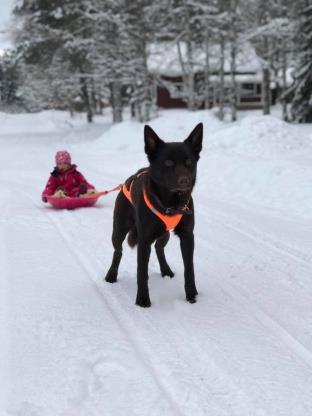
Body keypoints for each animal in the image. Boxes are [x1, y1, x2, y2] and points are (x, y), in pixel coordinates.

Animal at [103, 122, 204, 308]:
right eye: (169, 162)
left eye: (189, 162)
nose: (185, 181)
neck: (171, 203)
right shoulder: (144, 240)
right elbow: (142, 272)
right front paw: (142, 300)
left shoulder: (187, 236)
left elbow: (189, 268)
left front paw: (191, 295)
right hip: (119, 230)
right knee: (118, 251)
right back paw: (111, 275)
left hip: (164, 234)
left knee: (159, 248)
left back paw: (166, 270)